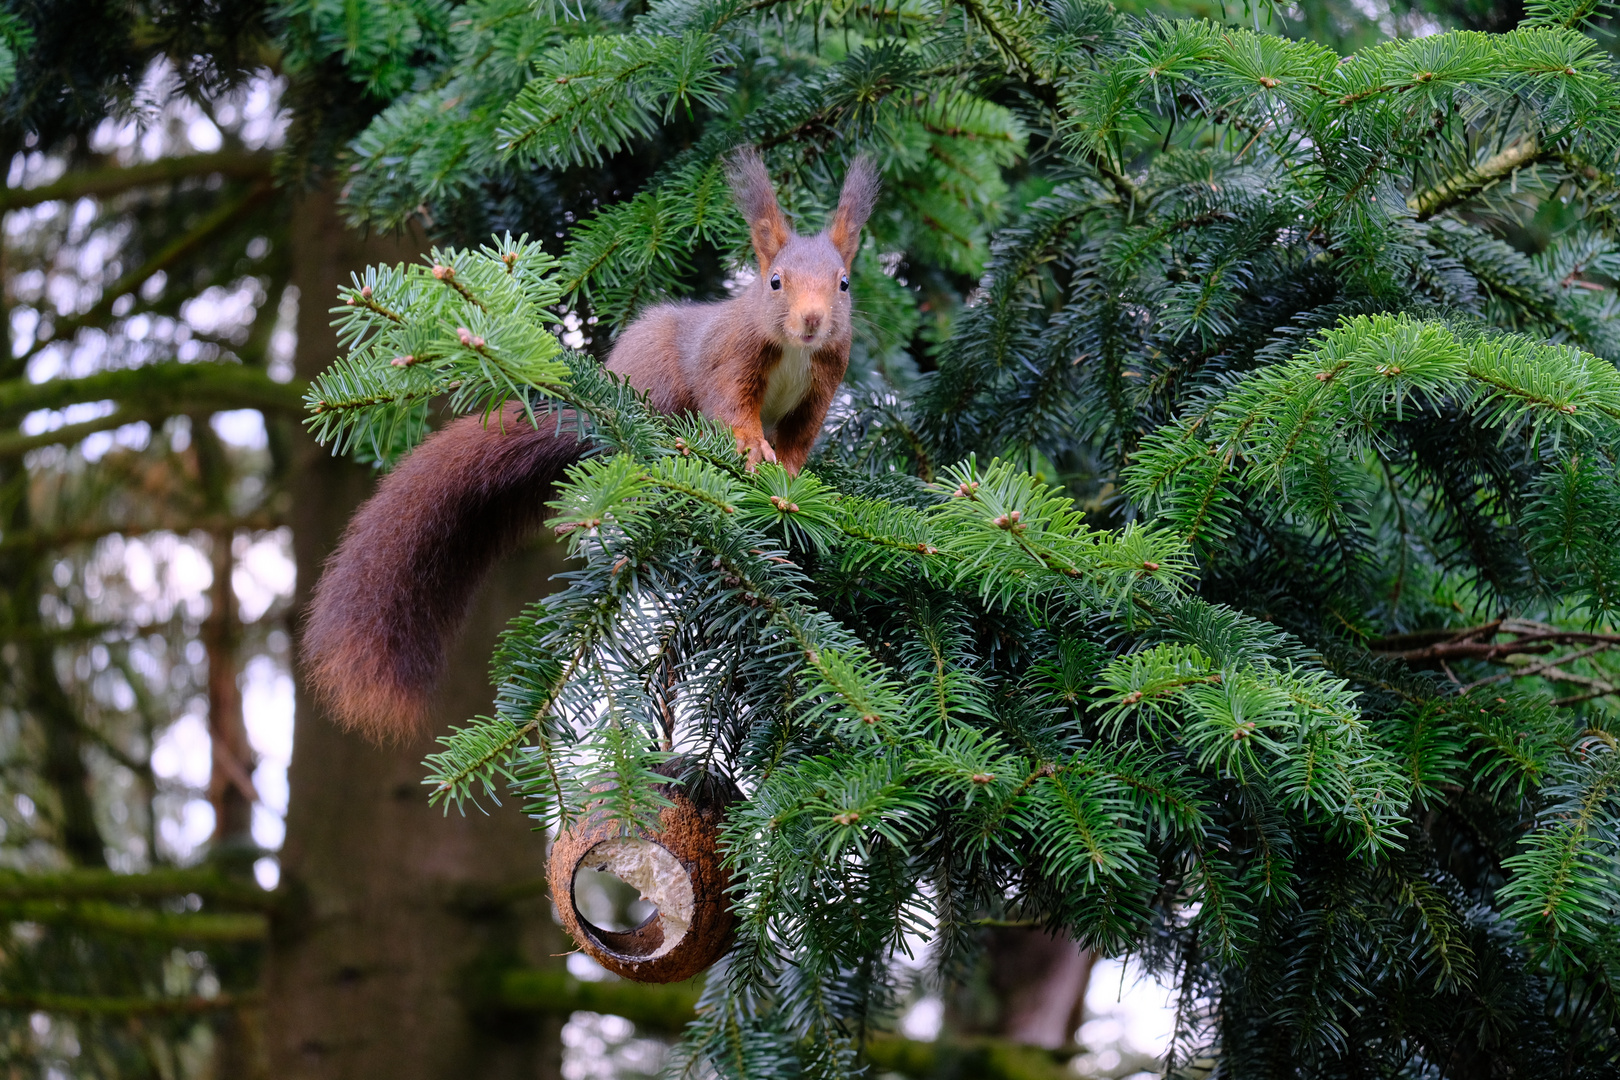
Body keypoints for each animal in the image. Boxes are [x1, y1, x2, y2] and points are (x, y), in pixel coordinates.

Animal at [298, 149, 881, 744]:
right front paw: (751, 451)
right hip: (659, 388)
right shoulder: (730, 357)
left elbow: (801, 439)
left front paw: (791, 476)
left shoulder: (822, 387)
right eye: (775, 281)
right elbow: (730, 406)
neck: (796, 350)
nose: (812, 321)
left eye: (843, 283)